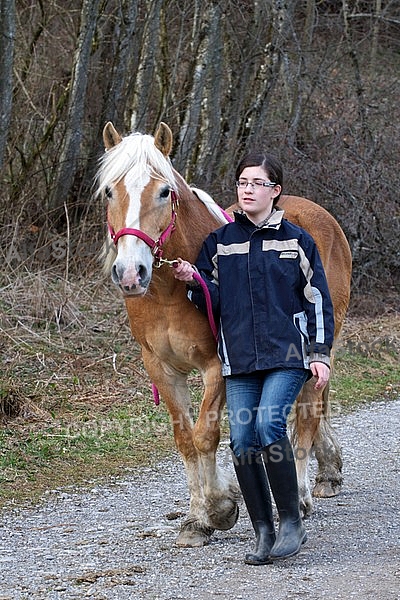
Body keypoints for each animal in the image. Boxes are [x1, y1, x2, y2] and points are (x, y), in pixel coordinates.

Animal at [96, 119, 350, 548]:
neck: (169, 292)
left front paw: (217, 509)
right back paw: (328, 471)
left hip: (317, 346)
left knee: (307, 413)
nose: (131, 273)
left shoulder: (217, 366)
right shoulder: (160, 368)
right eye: (110, 191)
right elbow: (185, 439)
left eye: (164, 191)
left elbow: (205, 435)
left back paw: (299, 496)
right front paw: (199, 517)